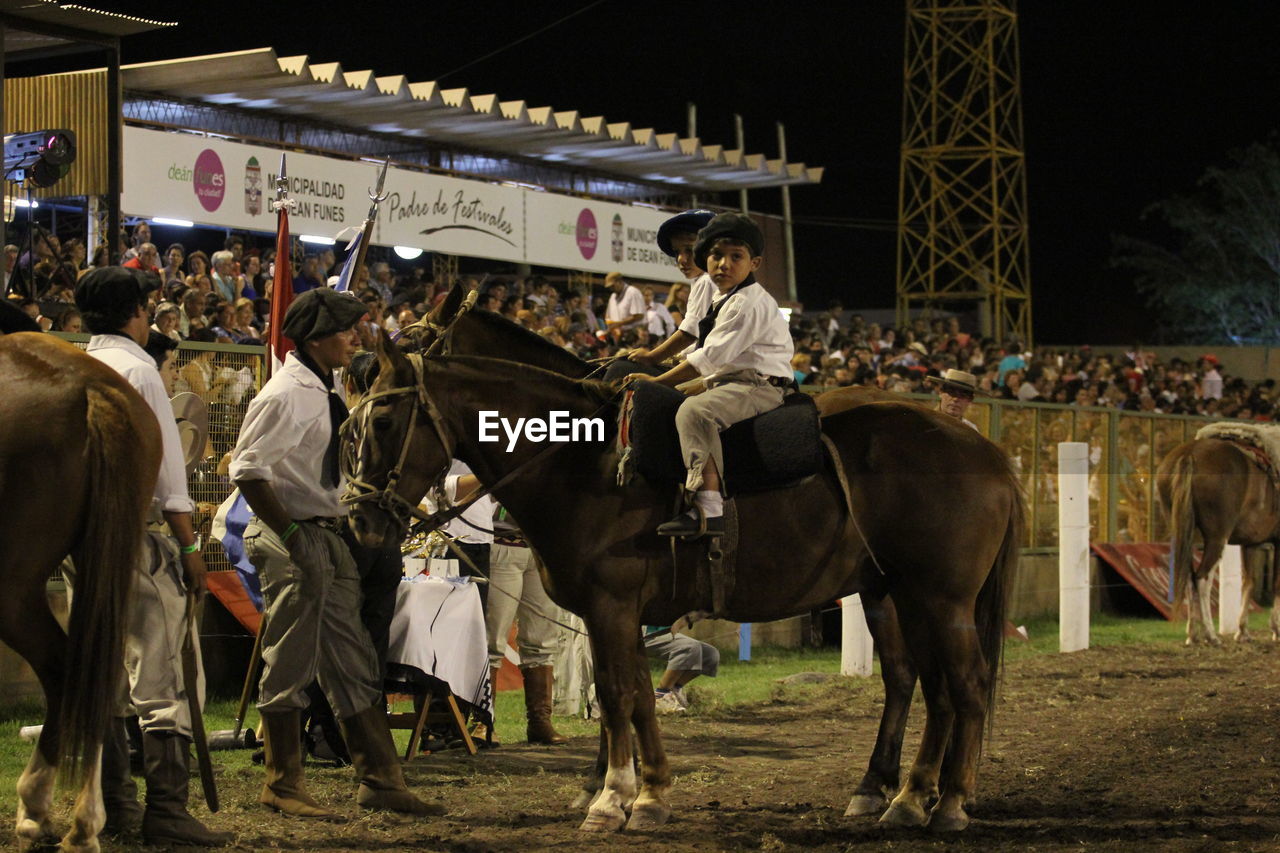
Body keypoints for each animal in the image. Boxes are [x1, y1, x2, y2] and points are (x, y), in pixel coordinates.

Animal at [345, 335, 1024, 835]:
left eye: (383, 419)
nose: (359, 519)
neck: (581, 459)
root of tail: (985, 449)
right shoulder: (613, 614)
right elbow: (635, 696)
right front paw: (641, 795)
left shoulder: (612, 608)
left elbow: (617, 696)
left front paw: (616, 797)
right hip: (896, 595)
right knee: (924, 685)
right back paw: (901, 796)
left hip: (940, 600)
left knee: (966, 685)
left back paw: (947, 803)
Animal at [1157, 435, 1280, 640]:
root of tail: (1190, 453)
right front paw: (1275, 629)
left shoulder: (1250, 544)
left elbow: (1249, 582)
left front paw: (1242, 630)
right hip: (1217, 538)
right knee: (1202, 579)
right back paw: (1211, 634)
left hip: (1186, 536)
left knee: (1188, 577)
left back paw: (1193, 634)